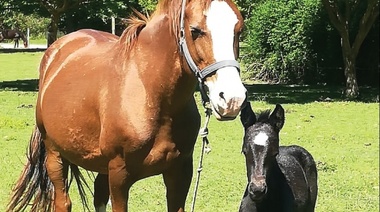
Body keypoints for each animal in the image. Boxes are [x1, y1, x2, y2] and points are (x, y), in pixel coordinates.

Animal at [6, 0, 246, 212]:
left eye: (239, 30)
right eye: (195, 30)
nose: (232, 99)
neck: (152, 95)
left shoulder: (180, 171)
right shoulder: (119, 175)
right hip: (55, 155)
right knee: (63, 202)